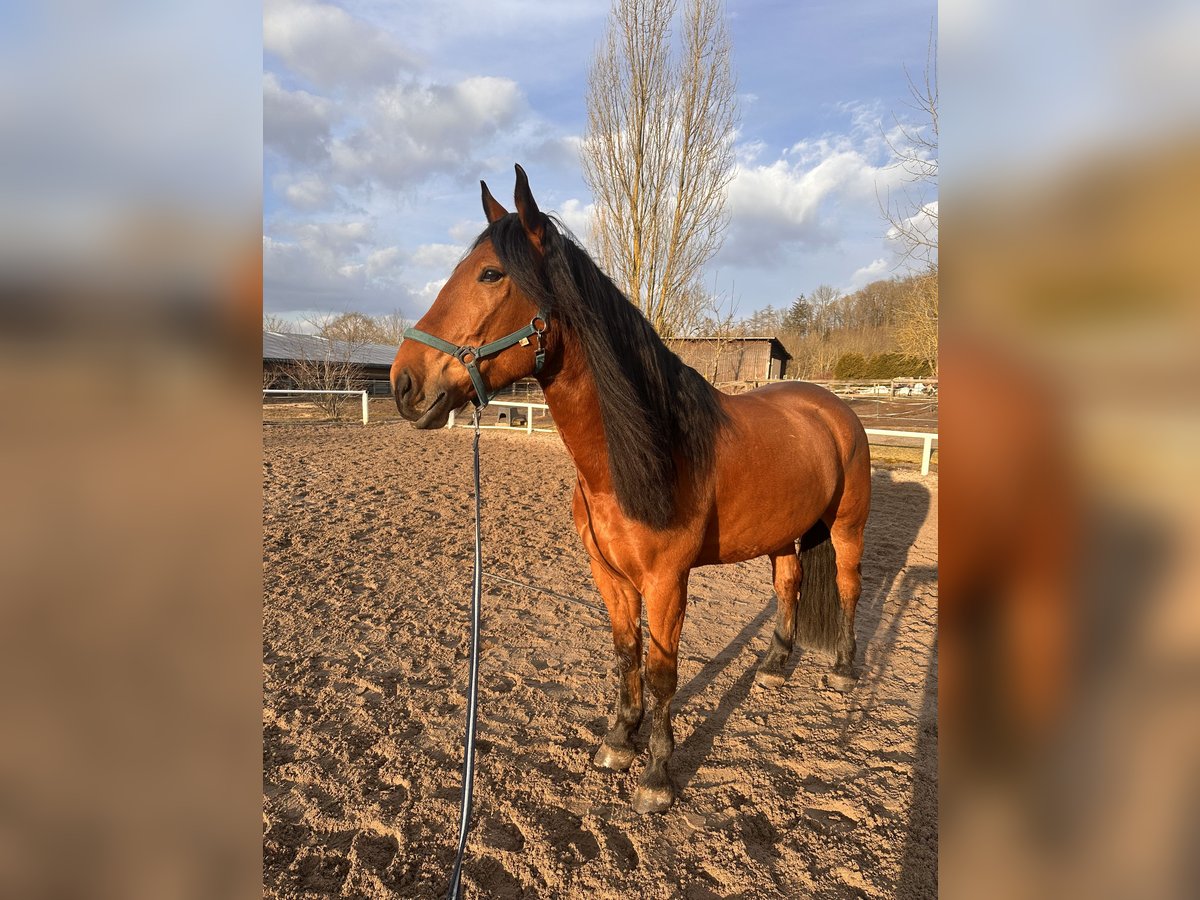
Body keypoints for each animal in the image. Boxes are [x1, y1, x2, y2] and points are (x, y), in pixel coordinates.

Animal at [393, 164, 873, 816]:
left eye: (491, 274)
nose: (404, 383)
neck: (640, 456)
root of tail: (831, 406)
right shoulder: (610, 575)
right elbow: (626, 655)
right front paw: (620, 741)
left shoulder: (667, 581)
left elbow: (662, 671)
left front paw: (657, 776)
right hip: (784, 533)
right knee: (790, 584)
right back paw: (775, 665)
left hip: (847, 527)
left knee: (847, 586)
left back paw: (844, 669)